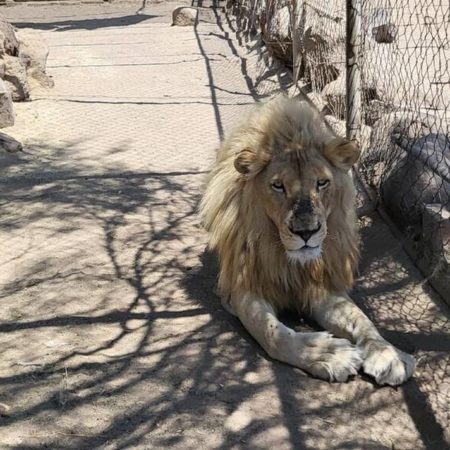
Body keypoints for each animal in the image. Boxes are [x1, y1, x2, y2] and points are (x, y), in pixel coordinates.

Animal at [200, 96, 414, 384]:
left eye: (322, 183)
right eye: (278, 186)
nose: (307, 233)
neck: (289, 260)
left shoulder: (323, 286)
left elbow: (362, 319)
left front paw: (388, 353)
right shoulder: (244, 287)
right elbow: (273, 333)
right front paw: (327, 354)